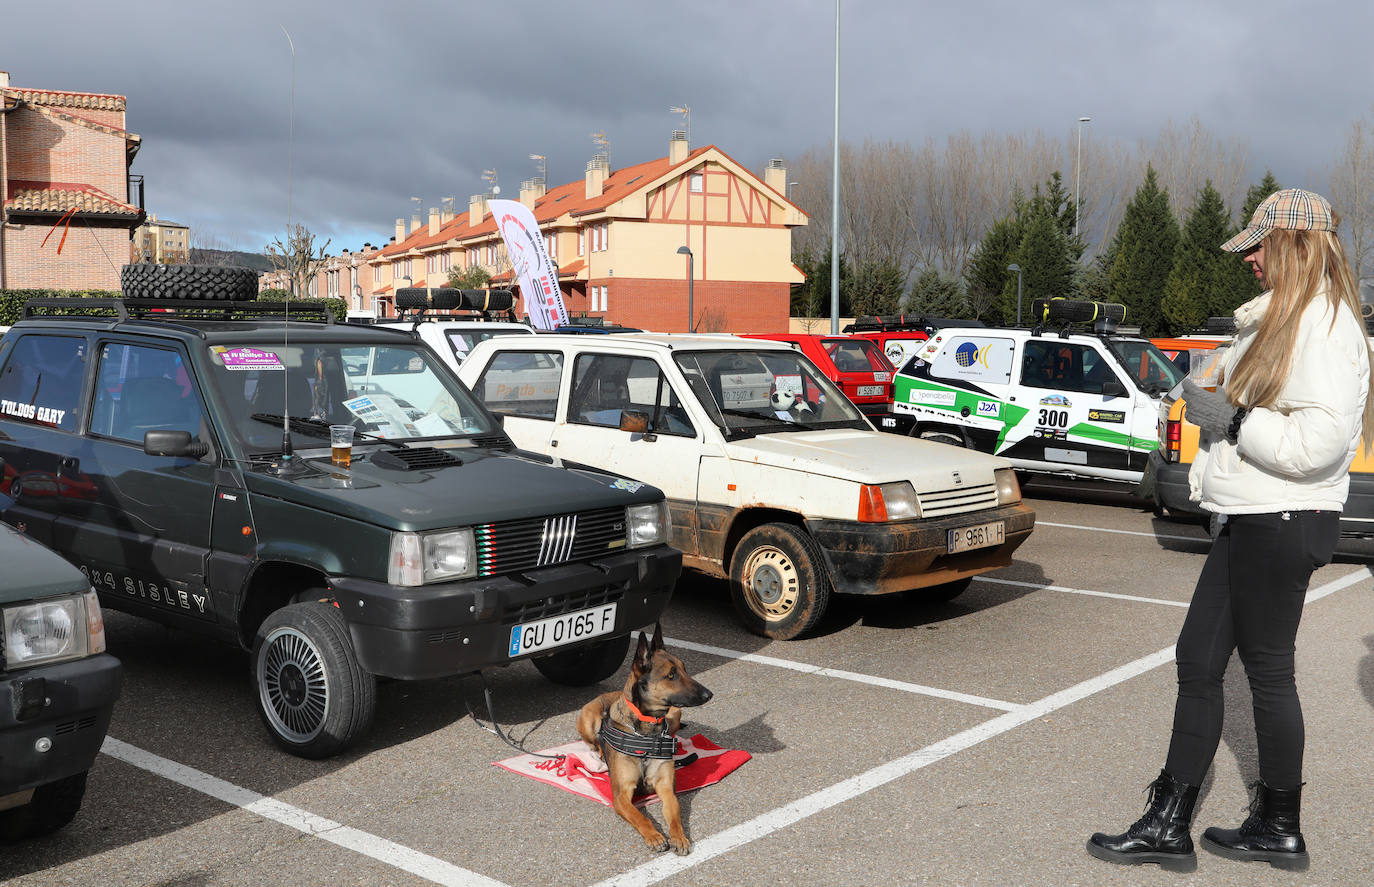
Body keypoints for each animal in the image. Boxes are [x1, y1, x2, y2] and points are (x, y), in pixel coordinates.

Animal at [574, 626, 714, 856]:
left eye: (684, 669)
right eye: (671, 675)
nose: (709, 694)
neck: (647, 732)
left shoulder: (666, 788)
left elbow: (675, 816)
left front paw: (679, 837)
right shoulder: (621, 796)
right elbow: (640, 817)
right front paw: (655, 836)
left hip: (676, 713)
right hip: (587, 718)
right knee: (594, 742)